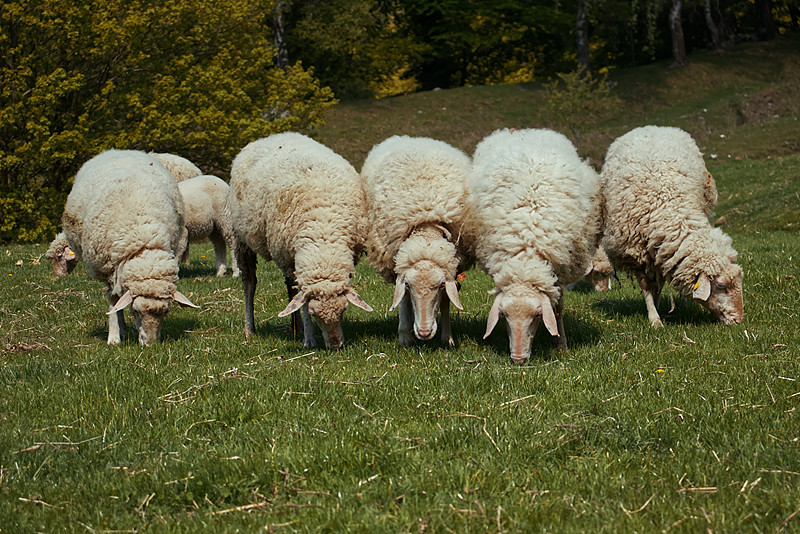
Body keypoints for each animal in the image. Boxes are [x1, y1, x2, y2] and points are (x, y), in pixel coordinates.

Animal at [61, 149, 198, 345]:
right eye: (135, 311)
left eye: (166, 312)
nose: (151, 345)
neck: (143, 240)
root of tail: (117, 150)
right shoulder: (109, 270)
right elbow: (113, 301)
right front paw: (114, 337)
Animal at [229, 132, 373, 349]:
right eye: (314, 313)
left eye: (344, 309)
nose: (336, 346)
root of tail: (273, 136)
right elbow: (300, 299)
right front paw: (309, 338)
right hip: (243, 240)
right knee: (250, 283)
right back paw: (250, 328)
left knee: (290, 287)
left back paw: (295, 326)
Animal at [360, 135, 476, 347]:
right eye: (408, 286)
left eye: (440, 286)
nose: (424, 332)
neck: (426, 224)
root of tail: (414, 139)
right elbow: (403, 299)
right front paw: (404, 335)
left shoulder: (452, 266)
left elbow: (446, 301)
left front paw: (447, 337)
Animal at [469, 128, 603, 363]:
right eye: (503, 315)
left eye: (538, 315)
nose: (518, 359)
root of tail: (525, 131)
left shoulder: (559, 274)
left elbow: (558, 308)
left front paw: (561, 343)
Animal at [601, 125, 743, 327]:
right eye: (721, 285)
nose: (739, 320)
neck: (667, 202)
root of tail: (651, 126)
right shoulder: (637, 255)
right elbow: (647, 287)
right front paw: (654, 319)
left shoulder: (661, 252)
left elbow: (658, 285)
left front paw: (658, 308)